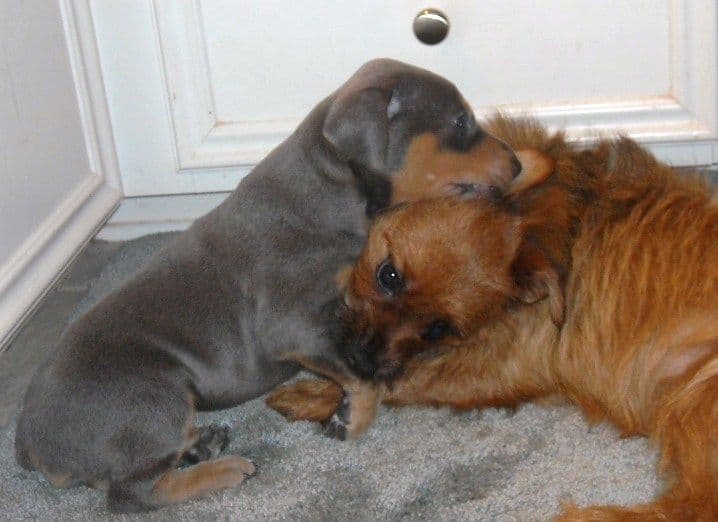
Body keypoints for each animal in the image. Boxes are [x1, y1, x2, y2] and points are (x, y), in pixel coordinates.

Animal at [15, 57, 516, 508]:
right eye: (461, 120)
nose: (517, 164)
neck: (333, 187)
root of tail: (29, 445)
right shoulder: (290, 325)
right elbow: (363, 376)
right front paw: (352, 418)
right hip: (154, 394)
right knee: (133, 495)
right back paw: (222, 470)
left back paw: (200, 444)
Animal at [268, 116, 718, 516]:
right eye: (388, 275)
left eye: (439, 328)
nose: (362, 359)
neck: (552, 223)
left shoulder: (500, 365)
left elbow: (402, 380)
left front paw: (314, 395)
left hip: (695, 395)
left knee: (689, 508)